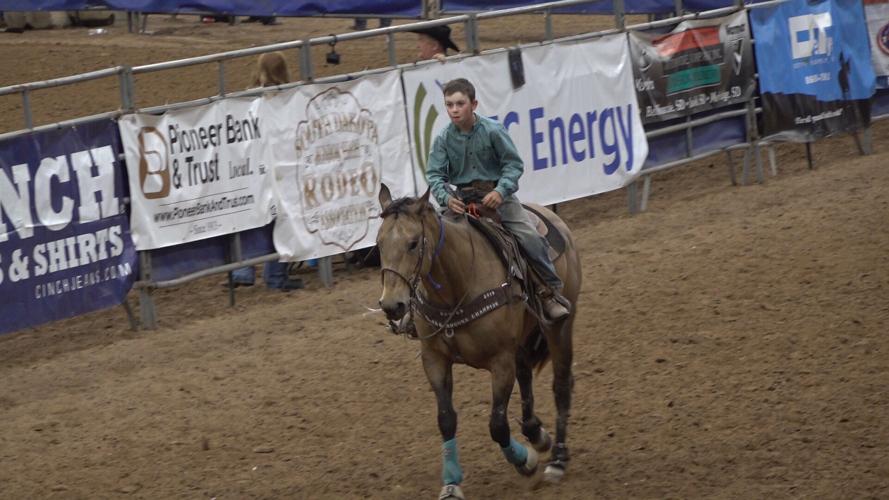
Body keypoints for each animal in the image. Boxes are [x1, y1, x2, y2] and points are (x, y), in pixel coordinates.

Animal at [376, 185, 580, 500]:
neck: (457, 284)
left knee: (561, 384)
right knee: (526, 375)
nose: (391, 305)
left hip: (559, 327)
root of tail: (554, 219)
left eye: (413, 243)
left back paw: (557, 459)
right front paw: (451, 483)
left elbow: (497, 424)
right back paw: (536, 433)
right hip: (522, 338)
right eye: (379, 244)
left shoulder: (500, 361)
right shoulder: (434, 358)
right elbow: (446, 419)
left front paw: (525, 461)